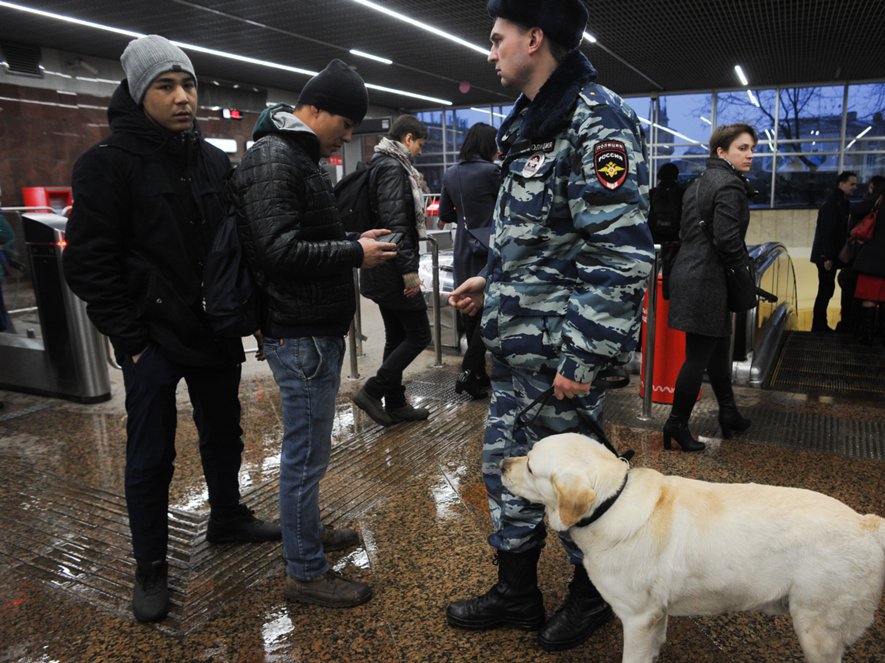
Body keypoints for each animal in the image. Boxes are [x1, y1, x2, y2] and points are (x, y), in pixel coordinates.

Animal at [500, 433, 885, 663]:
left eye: (531, 466)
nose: (502, 463)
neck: (611, 501)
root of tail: (866, 523)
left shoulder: (637, 618)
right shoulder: (654, 617)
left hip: (817, 628)